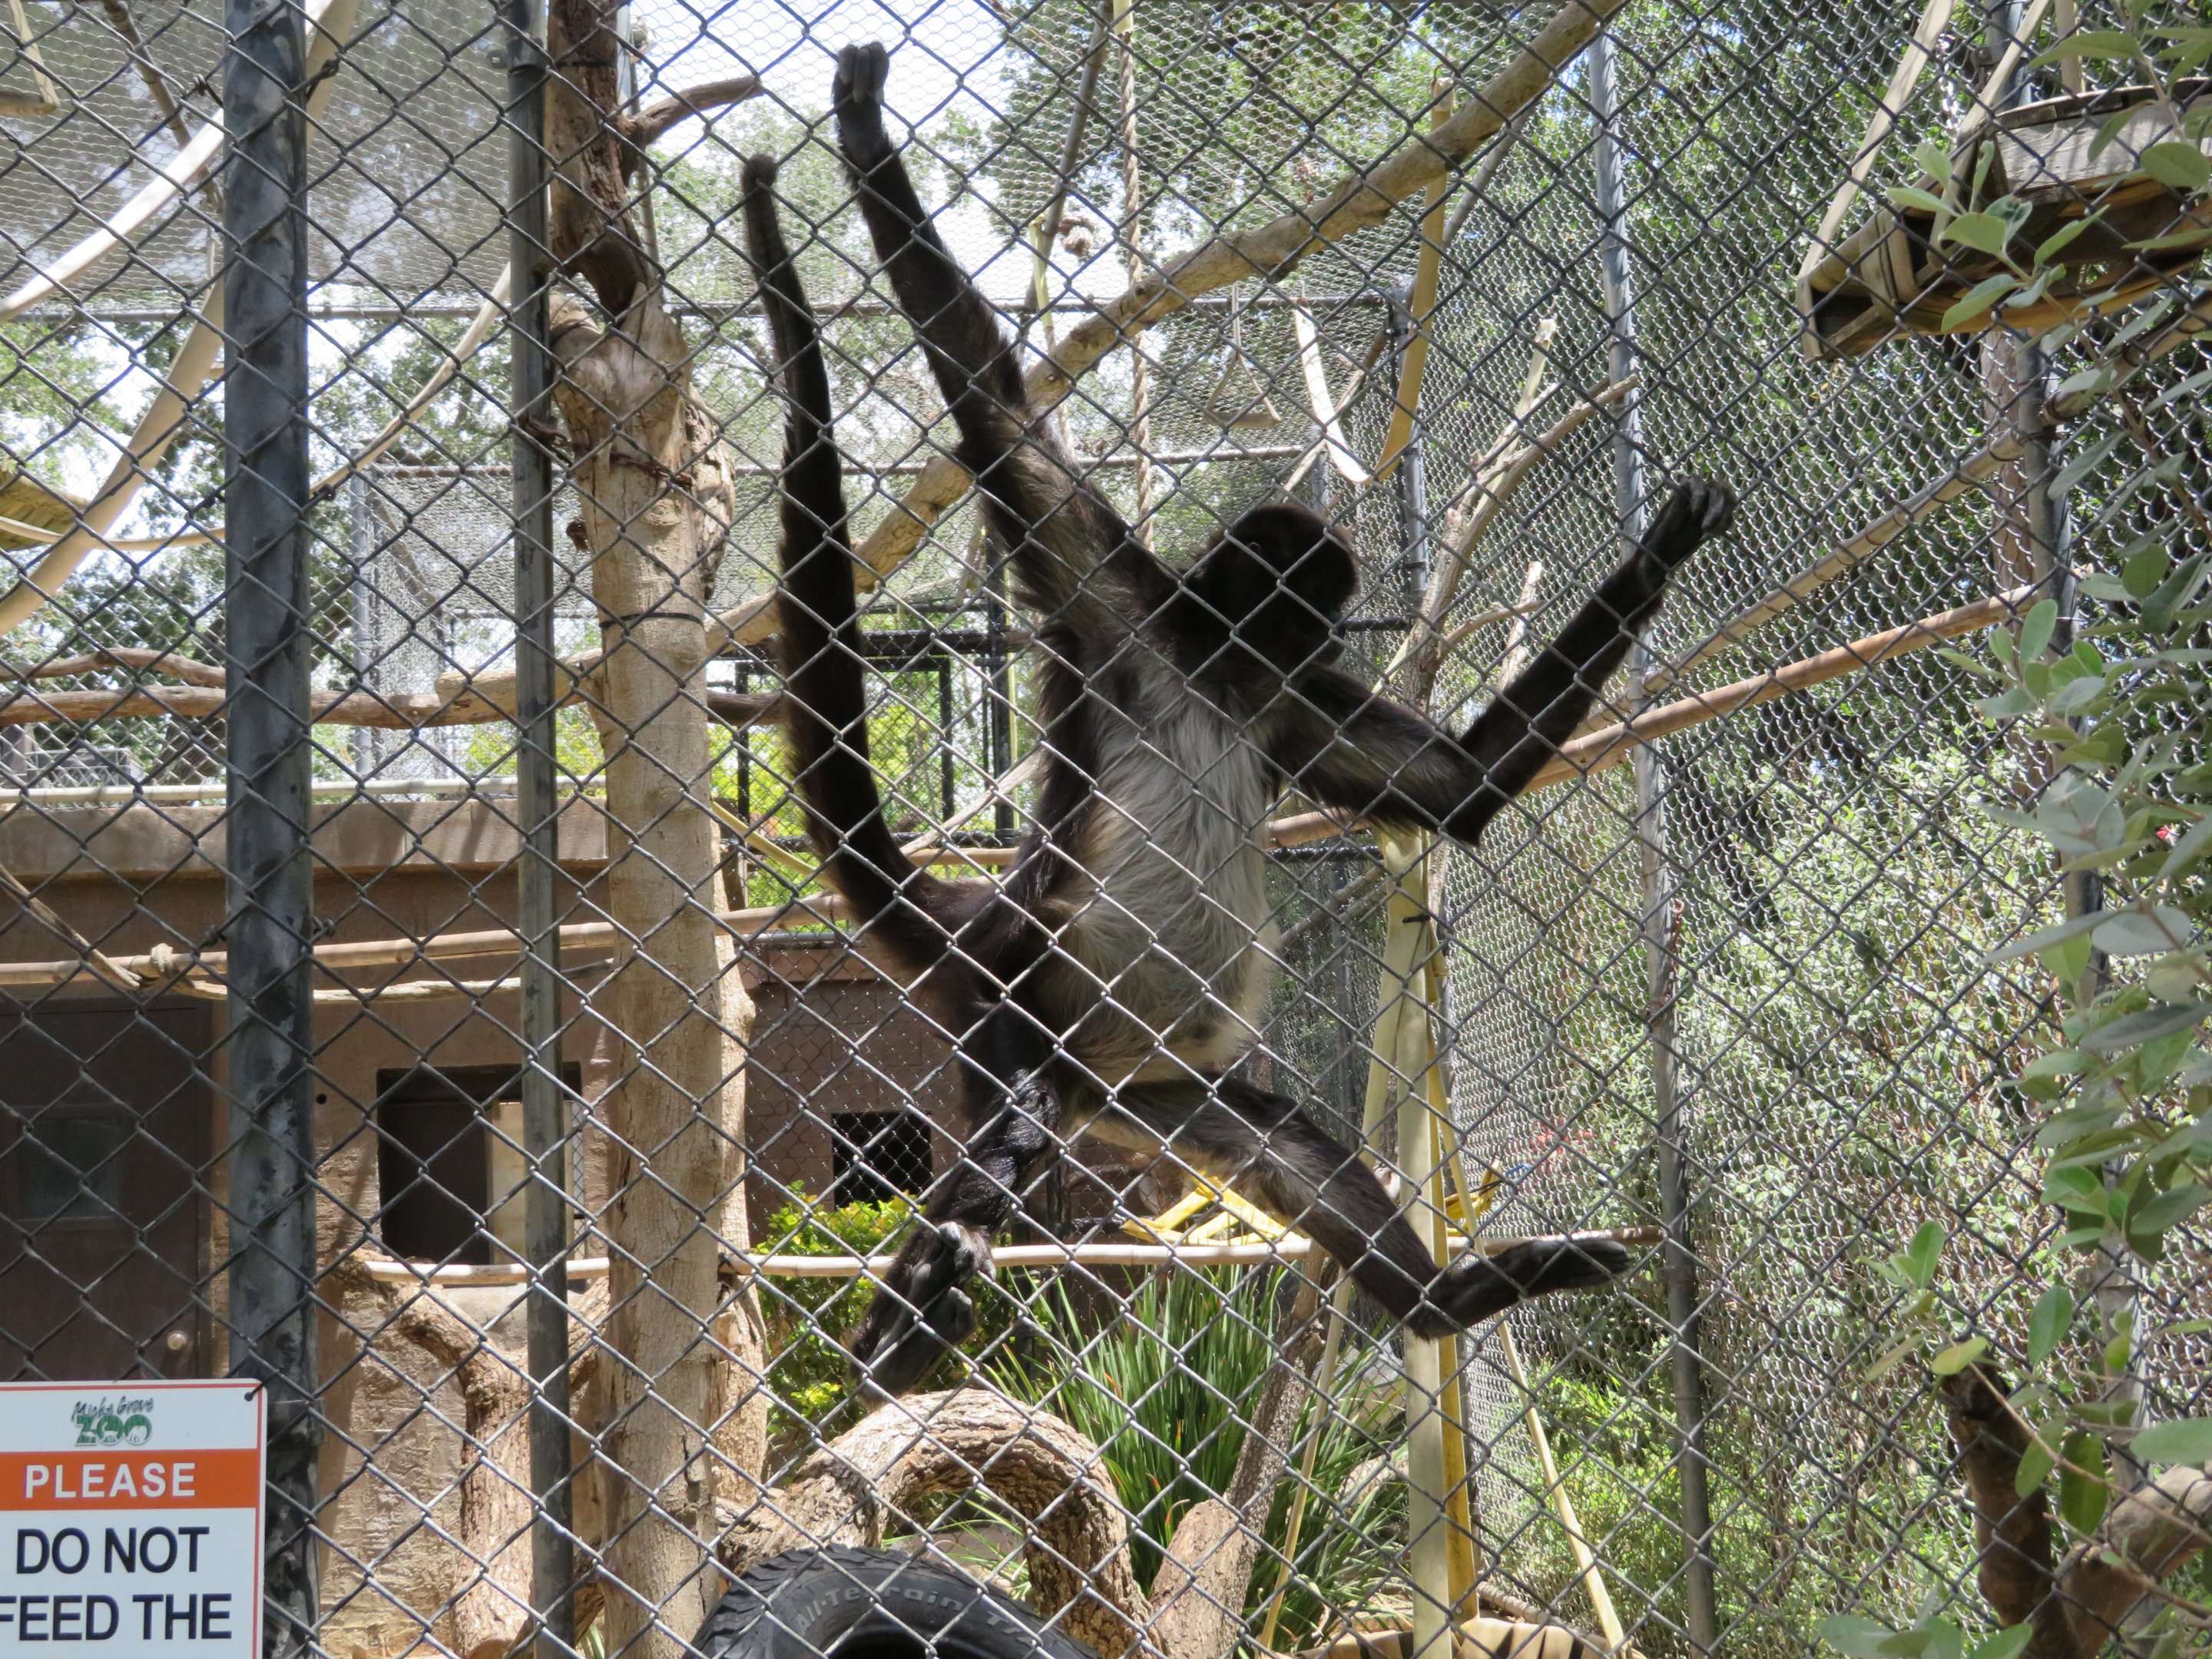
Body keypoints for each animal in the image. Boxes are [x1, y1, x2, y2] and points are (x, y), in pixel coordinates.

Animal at [737, 45, 1736, 1397]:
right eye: (1291, 597)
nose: (1305, 633)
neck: (1214, 669)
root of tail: (991, 916)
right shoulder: (1121, 603)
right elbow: (995, 410)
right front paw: (857, 121)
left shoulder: (1287, 706)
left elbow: (1458, 796)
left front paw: (1658, 558)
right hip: (1025, 1005)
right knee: (1013, 1130)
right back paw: (915, 1308)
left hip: (1155, 1091)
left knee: (1277, 1142)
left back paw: (1447, 1300)